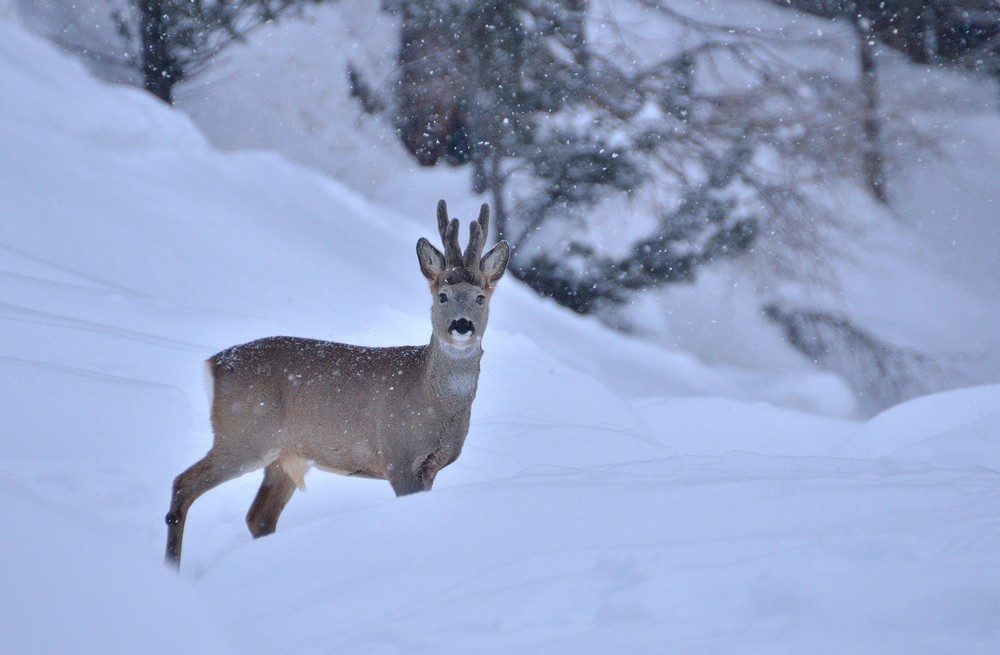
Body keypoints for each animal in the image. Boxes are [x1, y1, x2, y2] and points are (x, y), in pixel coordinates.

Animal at [166, 200, 508, 568]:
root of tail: (214, 364)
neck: (434, 402)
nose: (462, 325)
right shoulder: (398, 455)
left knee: (259, 516)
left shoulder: (431, 467)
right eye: (443, 295)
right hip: (245, 435)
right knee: (183, 484)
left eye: (480, 298)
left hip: (284, 455)